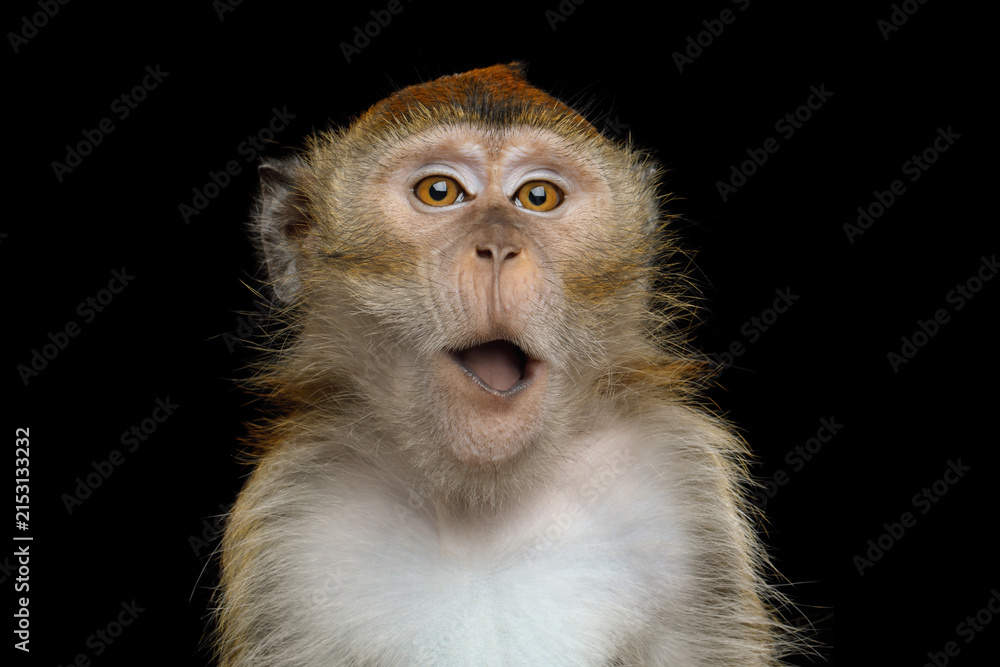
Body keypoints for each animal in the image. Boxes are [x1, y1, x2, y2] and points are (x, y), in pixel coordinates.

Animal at [214, 63, 800, 666]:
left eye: (537, 196)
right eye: (439, 191)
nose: (498, 246)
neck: (480, 507)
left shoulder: (679, 492)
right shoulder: (294, 519)